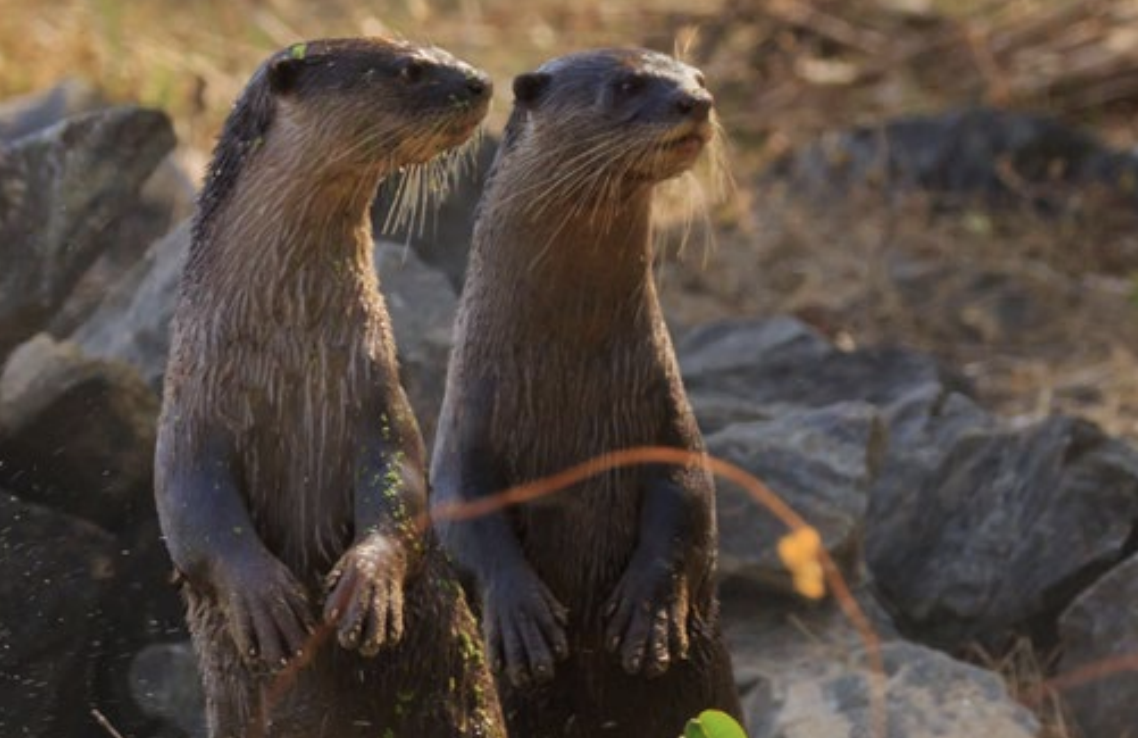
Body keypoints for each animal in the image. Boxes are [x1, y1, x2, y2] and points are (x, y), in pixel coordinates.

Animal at [155, 38, 504, 737]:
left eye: (437, 53)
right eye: (410, 70)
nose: (479, 82)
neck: (287, 355)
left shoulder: (375, 392)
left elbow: (402, 484)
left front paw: (367, 588)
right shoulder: (190, 412)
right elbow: (192, 510)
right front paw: (265, 599)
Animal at [431, 48, 742, 737]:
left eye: (700, 77)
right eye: (626, 84)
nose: (697, 102)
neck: (567, 367)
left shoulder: (664, 406)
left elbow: (688, 492)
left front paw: (648, 618)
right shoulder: (466, 421)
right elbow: (462, 509)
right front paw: (523, 620)